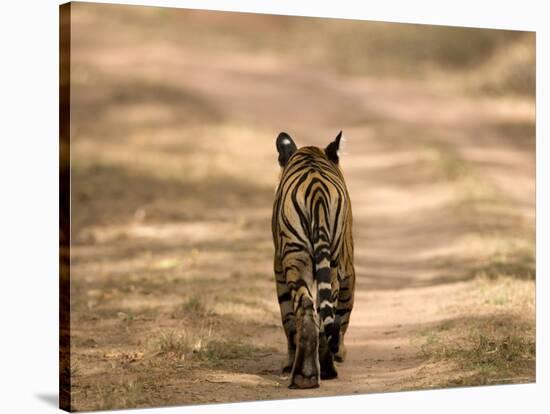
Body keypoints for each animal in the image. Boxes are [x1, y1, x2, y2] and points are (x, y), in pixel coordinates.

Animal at [272, 131, 358, 390]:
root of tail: (317, 188)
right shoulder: (349, 271)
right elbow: (343, 316)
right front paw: (340, 352)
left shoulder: (279, 267)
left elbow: (289, 319)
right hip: (327, 263)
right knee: (320, 312)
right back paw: (321, 369)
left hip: (296, 258)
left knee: (307, 308)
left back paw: (305, 375)